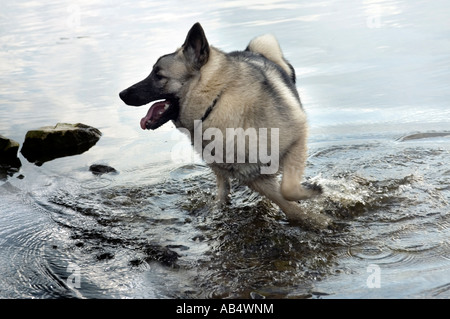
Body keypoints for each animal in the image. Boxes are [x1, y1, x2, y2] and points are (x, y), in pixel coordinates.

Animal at [119, 22, 330, 230]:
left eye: (158, 75)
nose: (121, 94)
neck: (215, 102)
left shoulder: (296, 142)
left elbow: (288, 189)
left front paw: (315, 200)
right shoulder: (253, 177)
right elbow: (287, 202)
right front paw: (313, 217)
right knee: (222, 186)